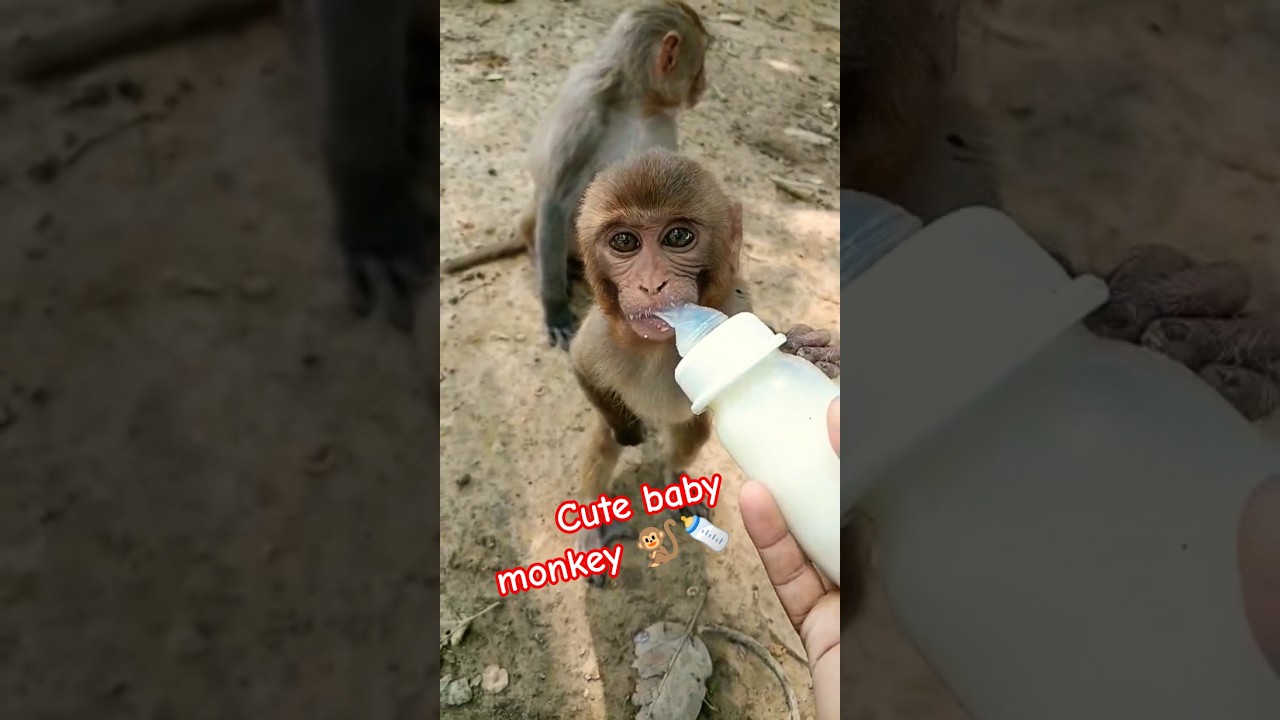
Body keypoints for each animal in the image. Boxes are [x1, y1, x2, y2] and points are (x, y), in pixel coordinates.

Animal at [440, 1, 711, 349]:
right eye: (698, 66)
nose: (702, 86)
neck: (635, 104)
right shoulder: (584, 112)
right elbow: (556, 197)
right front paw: (555, 309)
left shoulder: (663, 123)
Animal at [568, 149, 841, 586]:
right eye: (624, 241)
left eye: (678, 237)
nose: (651, 284)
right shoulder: (599, 337)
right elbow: (582, 368)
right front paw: (627, 431)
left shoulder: (735, 307)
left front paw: (806, 351)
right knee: (602, 441)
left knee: (691, 434)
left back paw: (676, 478)